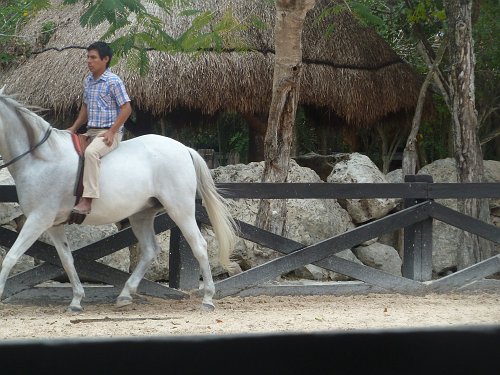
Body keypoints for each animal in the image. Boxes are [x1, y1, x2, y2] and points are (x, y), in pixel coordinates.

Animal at [0, 89, 237, 312]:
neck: (42, 157)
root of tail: (184, 149)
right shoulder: (53, 224)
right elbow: (66, 260)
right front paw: (76, 301)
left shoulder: (38, 219)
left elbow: (10, 257)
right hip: (141, 215)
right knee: (150, 250)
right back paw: (125, 295)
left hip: (181, 210)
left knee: (199, 246)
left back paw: (207, 299)